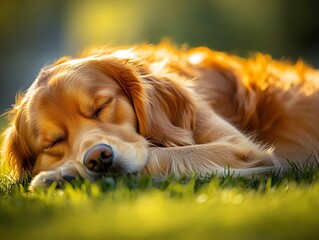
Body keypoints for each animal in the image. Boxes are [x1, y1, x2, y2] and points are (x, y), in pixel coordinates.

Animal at [0, 42, 319, 189]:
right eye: (53, 143)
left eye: (102, 105)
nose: (98, 158)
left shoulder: (244, 150)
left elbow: (161, 155)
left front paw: (67, 174)